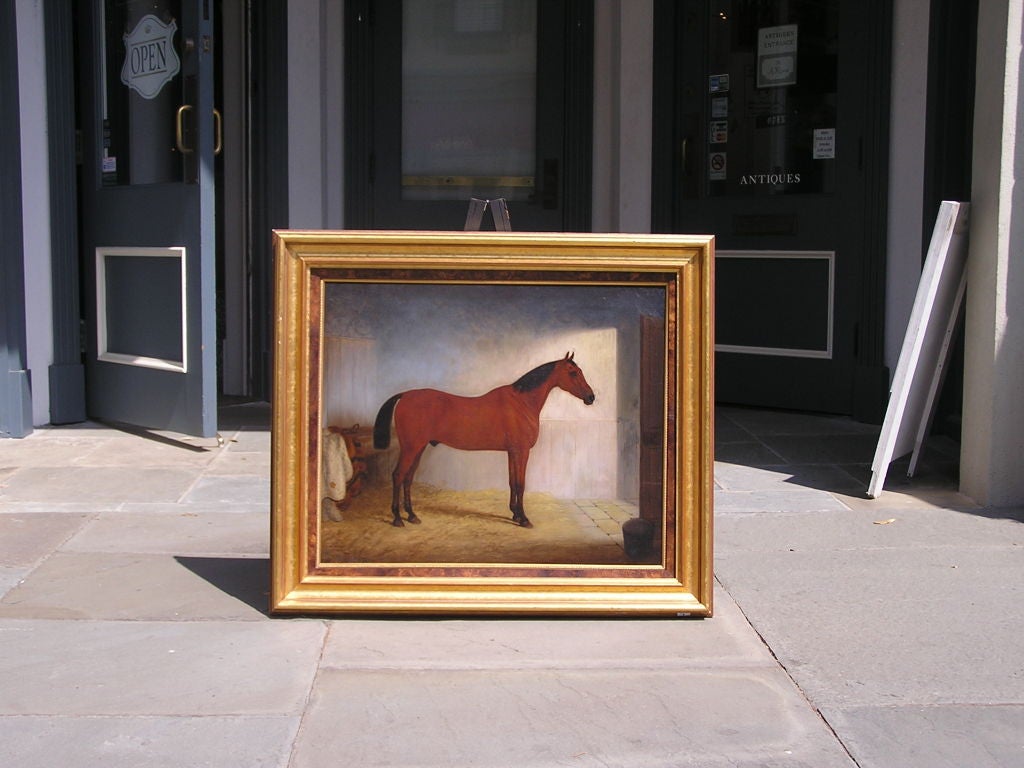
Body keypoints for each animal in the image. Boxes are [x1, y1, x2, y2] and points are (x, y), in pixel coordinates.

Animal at [372, 354, 598, 528]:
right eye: (573, 373)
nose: (591, 397)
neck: (522, 402)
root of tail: (405, 395)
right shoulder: (522, 451)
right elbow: (520, 484)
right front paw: (524, 519)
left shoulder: (512, 452)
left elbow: (512, 482)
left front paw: (515, 514)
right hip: (411, 448)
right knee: (398, 475)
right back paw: (397, 518)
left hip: (418, 448)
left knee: (408, 478)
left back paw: (412, 515)